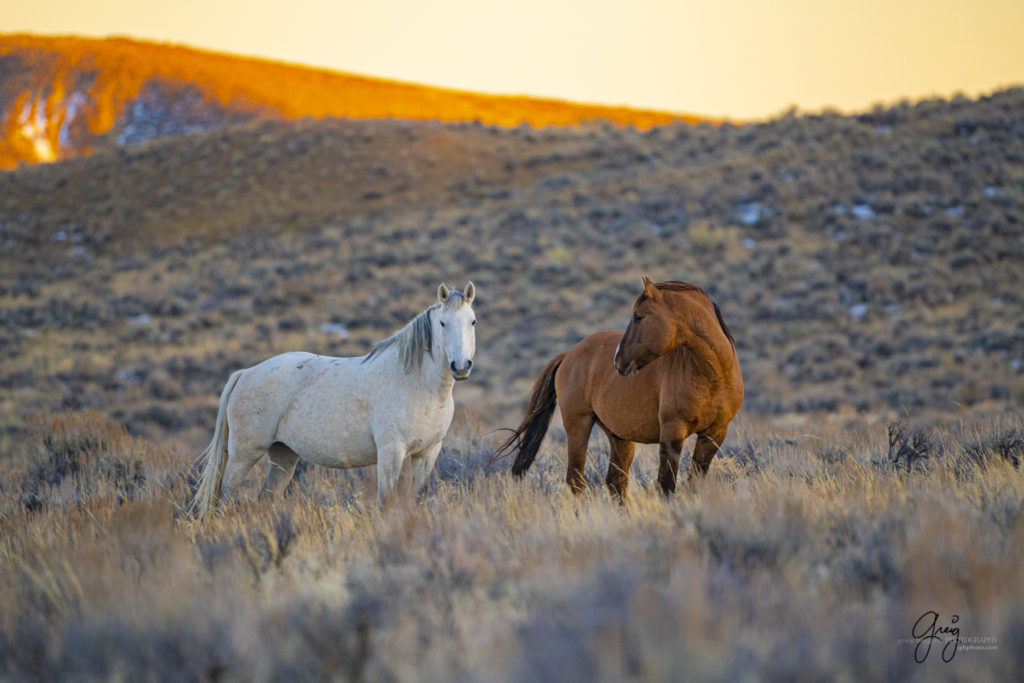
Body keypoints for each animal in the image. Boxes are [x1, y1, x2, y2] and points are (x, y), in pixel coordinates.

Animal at [190, 282, 477, 518]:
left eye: (472, 321)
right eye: (443, 323)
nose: (461, 366)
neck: (418, 385)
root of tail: (245, 373)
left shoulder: (427, 453)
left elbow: (418, 499)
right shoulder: (391, 452)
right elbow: (385, 502)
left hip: (283, 455)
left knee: (266, 498)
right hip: (244, 454)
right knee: (223, 497)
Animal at [497, 278, 745, 501]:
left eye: (638, 317)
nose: (619, 361)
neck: (713, 376)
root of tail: (568, 355)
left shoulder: (714, 434)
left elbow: (693, 485)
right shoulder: (672, 433)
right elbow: (666, 486)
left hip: (619, 437)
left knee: (615, 483)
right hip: (579, 426)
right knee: (576, 482)